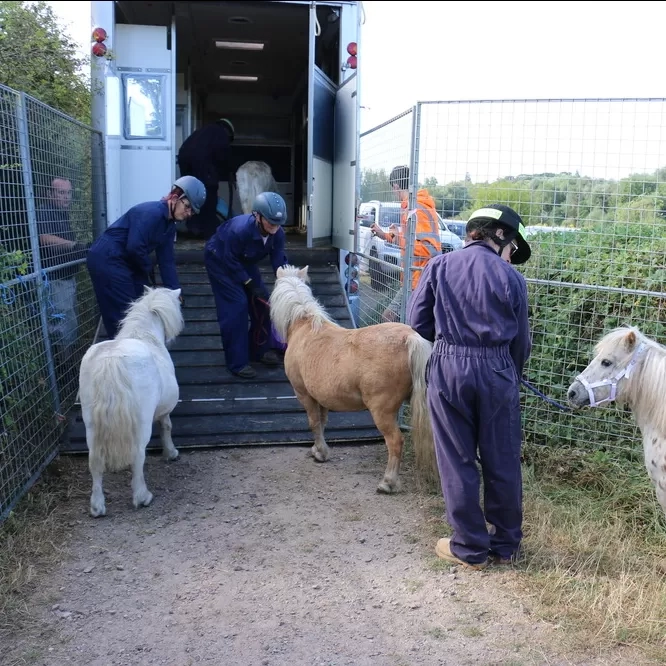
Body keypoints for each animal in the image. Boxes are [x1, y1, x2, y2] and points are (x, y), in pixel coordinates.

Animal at [80, 284, 184, 512]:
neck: (145, 335)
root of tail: (111, 360)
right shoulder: (164, 411)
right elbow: (167, 427)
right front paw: (171, 453)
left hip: (90, 423)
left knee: (94, 460)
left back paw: (97, 506)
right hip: (141, 423)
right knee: (137, 456)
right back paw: (142, 496)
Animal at [270, 262, 436, 490]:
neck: (304, 326)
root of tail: (409, 337)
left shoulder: (304, 394)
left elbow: (314, 423)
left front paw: (319, 452)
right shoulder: (321, 398)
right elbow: (322, 422)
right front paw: (319, 450)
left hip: (382, 411)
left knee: (395, 441)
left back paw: (388, 482)